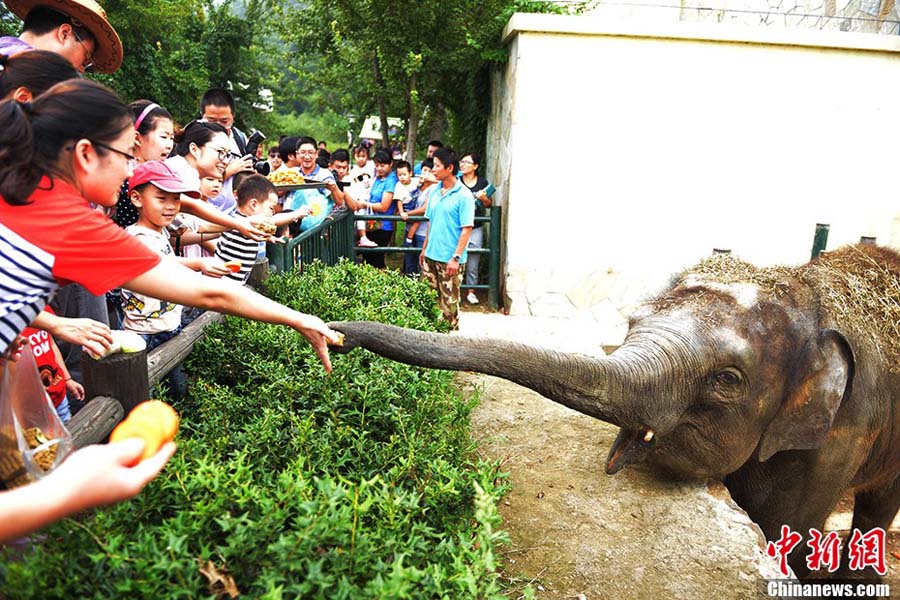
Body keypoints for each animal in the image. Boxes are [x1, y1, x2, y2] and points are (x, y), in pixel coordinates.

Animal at [328, 244, 900, 576]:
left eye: (728, 379)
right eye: (630, 324)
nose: (336, 335)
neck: (805, 291)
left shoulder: (841, 436)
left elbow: (788, 529)